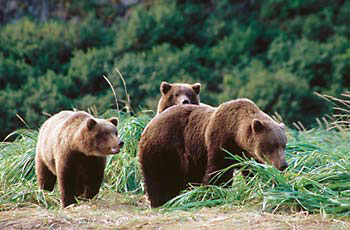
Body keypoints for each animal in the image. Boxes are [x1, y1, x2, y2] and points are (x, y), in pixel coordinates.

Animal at [138, 98, 288, 208]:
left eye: (283, 145)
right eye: (272, 145)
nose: (283, 164)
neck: (235, 134)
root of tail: (149, 124)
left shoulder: (247, 154)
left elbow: (253, 171)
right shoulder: (219, 140)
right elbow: (218, 171)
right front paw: (214, 191)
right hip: (163, 148)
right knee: (158, 176)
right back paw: (160, 201)